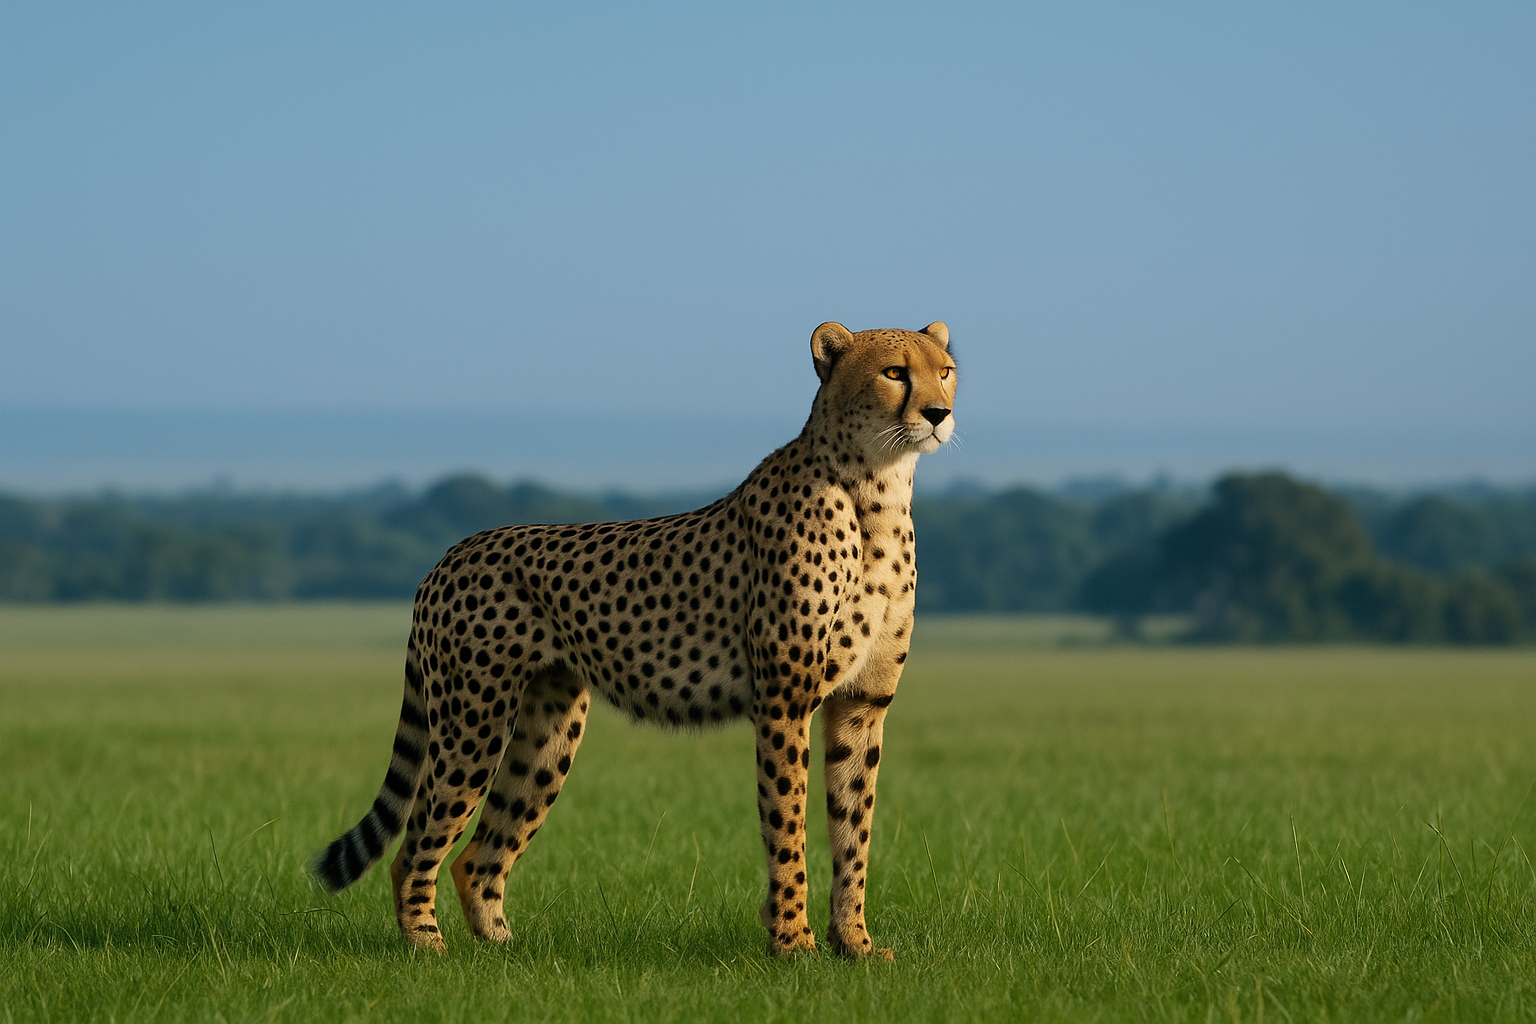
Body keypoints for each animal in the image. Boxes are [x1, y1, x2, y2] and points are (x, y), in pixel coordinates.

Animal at [313, 320, 957, 958]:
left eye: (945, 370)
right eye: (894, 372)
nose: (939, 413)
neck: (875, 490)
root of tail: (451, 554)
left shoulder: (862, 704)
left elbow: (854, 829)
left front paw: (855, 944)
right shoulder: (784, 700)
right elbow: (788, 824)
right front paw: (794, 943)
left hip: (548, 731)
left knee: (475, 856)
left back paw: (502, 949)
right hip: (473, 721)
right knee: (416, 846)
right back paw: (426, 946)